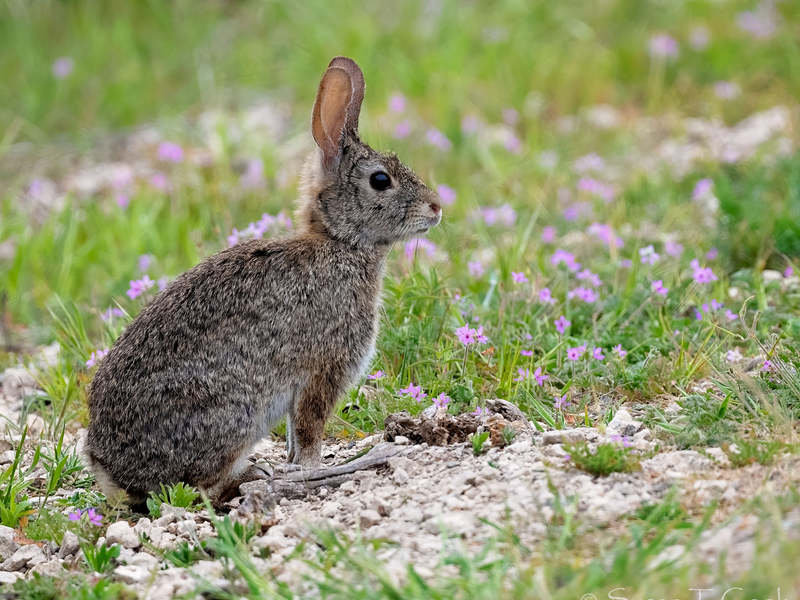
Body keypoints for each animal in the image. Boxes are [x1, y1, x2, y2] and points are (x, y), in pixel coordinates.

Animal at [86, 56, 442, 506]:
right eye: (381, 180)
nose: (436, 207)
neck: (339, 241)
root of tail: (109, 469)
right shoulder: (324, 368)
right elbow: (308, 429)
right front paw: (309, 466)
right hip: (232, 412)